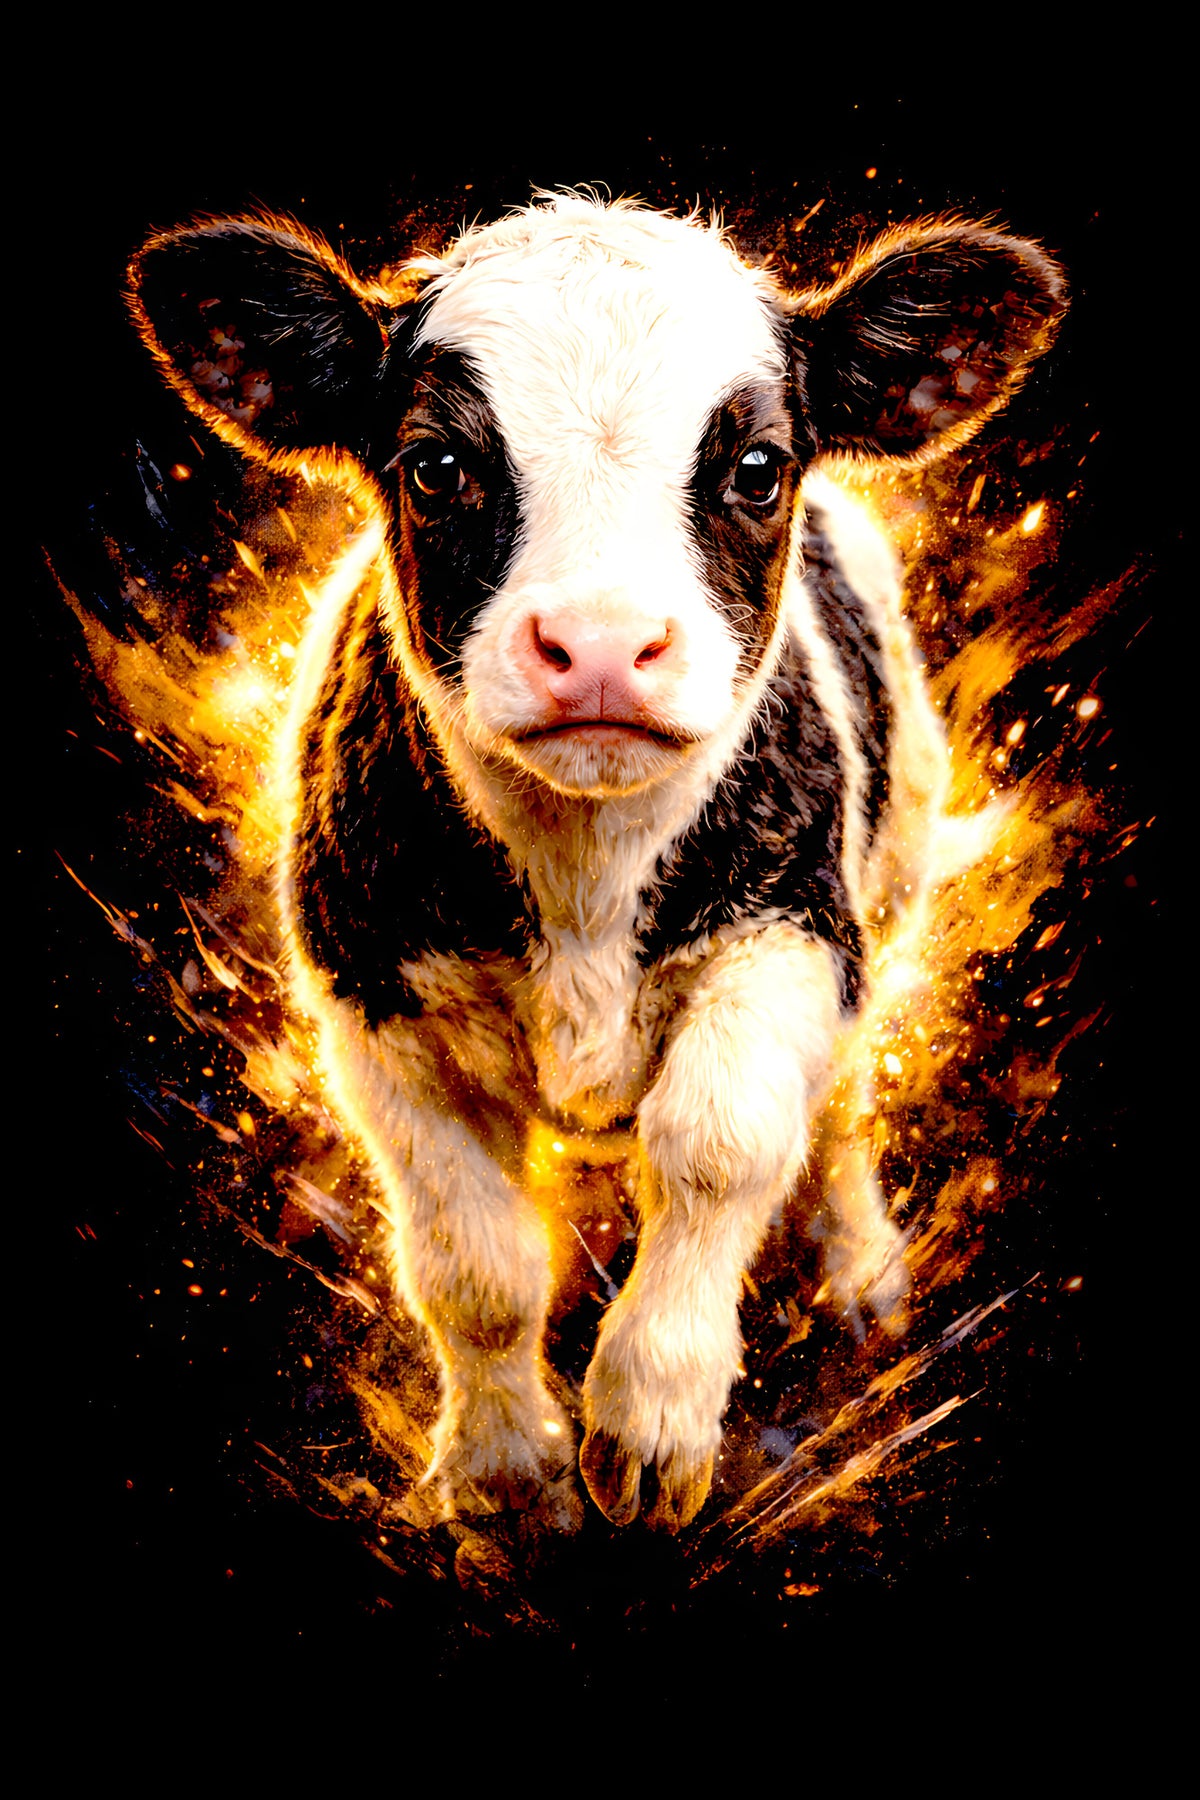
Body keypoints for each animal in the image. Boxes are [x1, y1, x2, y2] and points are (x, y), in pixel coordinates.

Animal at [130, 191, 1064, 1532]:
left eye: (756, 467)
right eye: (437, 465)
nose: (607, 644)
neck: (583, 877)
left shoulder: (791, 931)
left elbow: (720, 1144)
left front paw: (652, 1418)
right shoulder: (370, 1005)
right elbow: (475, 1264)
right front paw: (505, 1466)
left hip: (891, 870)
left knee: (836, 1108)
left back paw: (860, 1273)